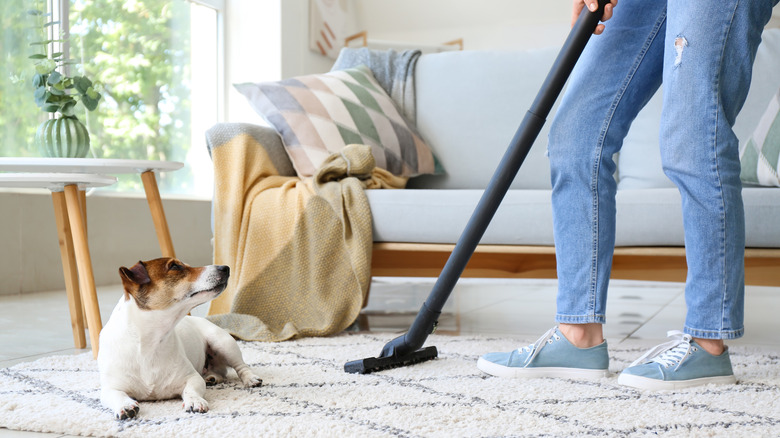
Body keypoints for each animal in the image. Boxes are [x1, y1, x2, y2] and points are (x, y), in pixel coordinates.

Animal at [96, 258, 262, 420]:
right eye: (175, 266)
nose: (225, 268)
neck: (150, 342)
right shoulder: (110, 387)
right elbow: (116, 395)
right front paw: (125, 406)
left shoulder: (192, 377)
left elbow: (191, 389)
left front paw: (194, 401)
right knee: (221, 372)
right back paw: (212, 377)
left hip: (223, 342)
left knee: (241, 366)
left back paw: (250, 379)